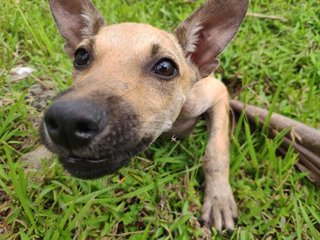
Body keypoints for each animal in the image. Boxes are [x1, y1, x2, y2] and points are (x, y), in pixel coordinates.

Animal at [39, 0, 248, 232]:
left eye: (165, 68)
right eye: (81, 56)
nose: (67, 120)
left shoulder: (218, 92)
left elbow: (216, 151)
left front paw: (219, 198)